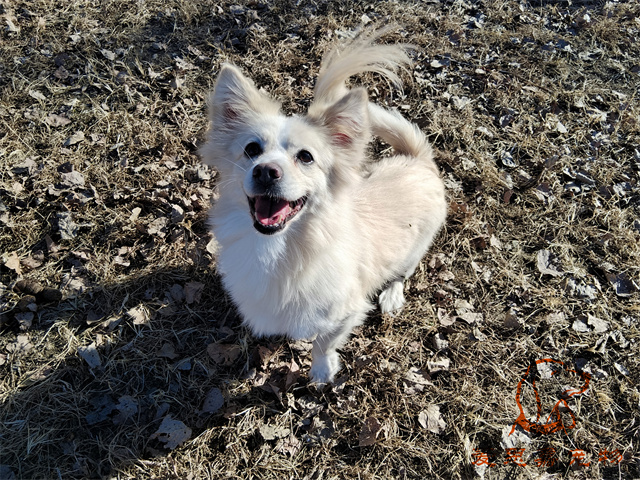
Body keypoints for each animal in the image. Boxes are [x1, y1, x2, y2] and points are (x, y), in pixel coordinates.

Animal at [201, 27, 447, 384]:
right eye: (252, 149)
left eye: (305, 157)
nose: (265, 171)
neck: (280, 248)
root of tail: (418, 160)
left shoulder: (346, 312)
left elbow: (323, 343)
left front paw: (321, 371)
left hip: (415, 248)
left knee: (403, 272)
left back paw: (392, 294)